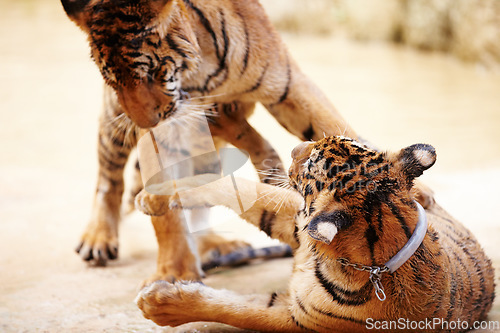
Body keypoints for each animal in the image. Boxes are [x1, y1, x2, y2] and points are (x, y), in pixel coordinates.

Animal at [134, 135, 496, 330]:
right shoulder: (298, 223)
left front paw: (157, 304)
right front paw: (155, 195)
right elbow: (239, 190)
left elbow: (238, 310)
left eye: (310, 165)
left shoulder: (295, 318)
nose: (296, 147)